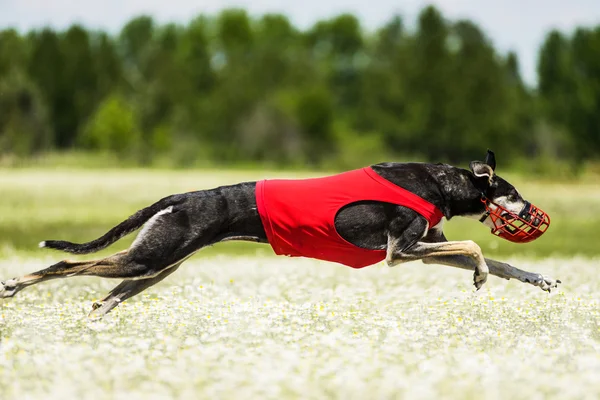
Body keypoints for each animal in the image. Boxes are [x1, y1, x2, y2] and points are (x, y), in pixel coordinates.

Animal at [0, 150, 556, 318]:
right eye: (513, 193)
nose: (533, 211)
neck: (439, 181)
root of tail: (182, 196)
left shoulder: (426, 248)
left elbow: (501, 261)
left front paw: (540, 279)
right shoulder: (403, 250)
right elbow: (477, 245)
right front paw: (480, 276)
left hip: (156, 266)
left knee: (107, 297)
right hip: (149, 260)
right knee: (65, 263)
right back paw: (15, 284)